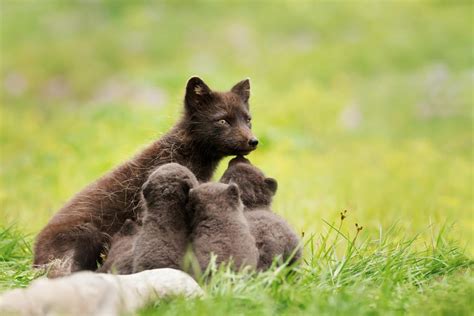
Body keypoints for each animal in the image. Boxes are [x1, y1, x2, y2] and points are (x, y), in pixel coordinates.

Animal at [33, 76, 258, 276]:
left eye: (248, 120)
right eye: (223, 120)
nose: (254, 141)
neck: (179, 153)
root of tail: (35, 253)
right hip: (88, 234)